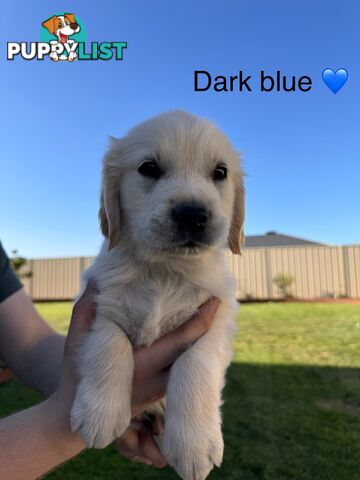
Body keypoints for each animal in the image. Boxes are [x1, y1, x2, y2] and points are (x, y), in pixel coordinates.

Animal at [70, 109, 245, 480]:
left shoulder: (216, 321)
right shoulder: (100, 304)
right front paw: (99, 415)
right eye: (148, 168)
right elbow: (111, 344)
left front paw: (193, 445)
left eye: (220, 172)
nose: (192, 214)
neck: (166, 271)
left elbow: (195, 363)